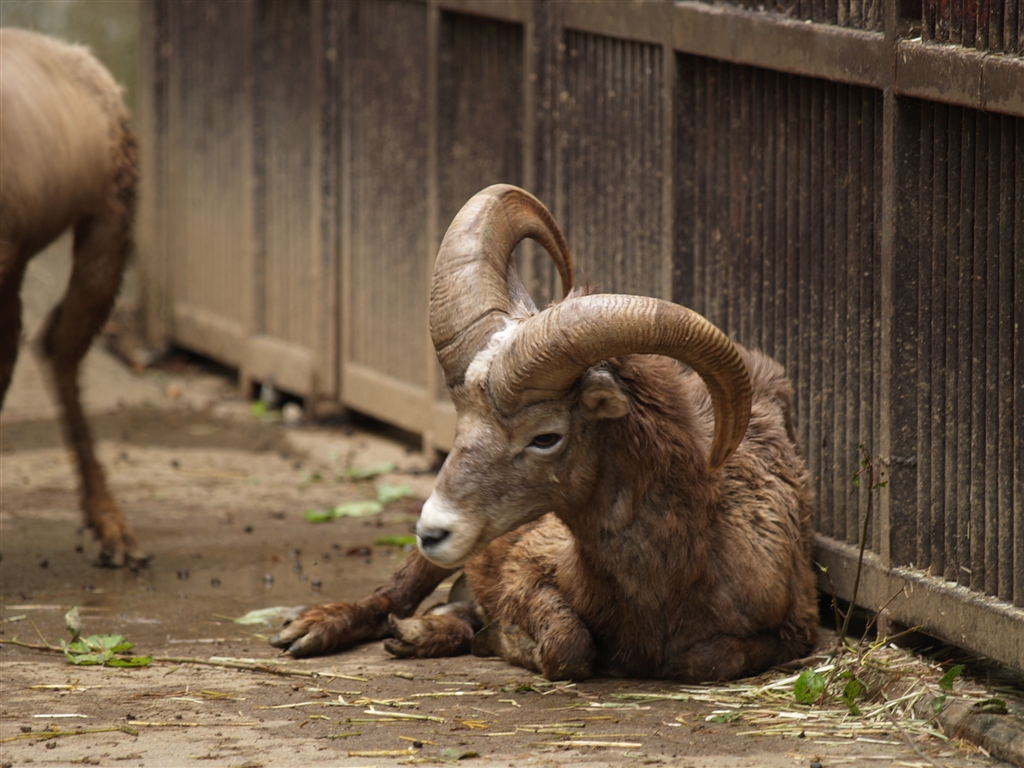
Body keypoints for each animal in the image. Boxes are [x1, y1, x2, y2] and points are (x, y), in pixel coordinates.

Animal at [271, 184, 819, 682]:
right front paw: (497, 638)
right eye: (461, 422)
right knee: (395, 592)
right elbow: (569, 648)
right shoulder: (526, 573)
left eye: (545, 437)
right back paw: (309, 631)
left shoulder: (795, 628)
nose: (435, 530)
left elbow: (701, 662)